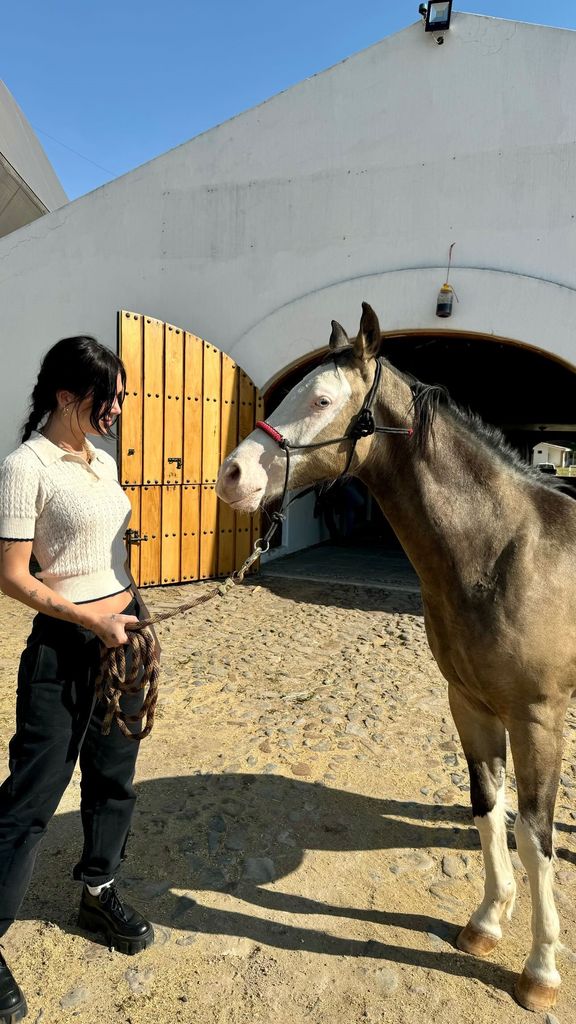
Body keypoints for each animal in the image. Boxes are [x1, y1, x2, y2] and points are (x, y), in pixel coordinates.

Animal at [215, 299, 573, 1011]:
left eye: (322, 398)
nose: (231, 476)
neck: (503, 553)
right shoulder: (469, 705)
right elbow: (488, 809)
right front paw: (486, 923)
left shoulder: (538, 719)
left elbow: (535, 835)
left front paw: (542, 969)